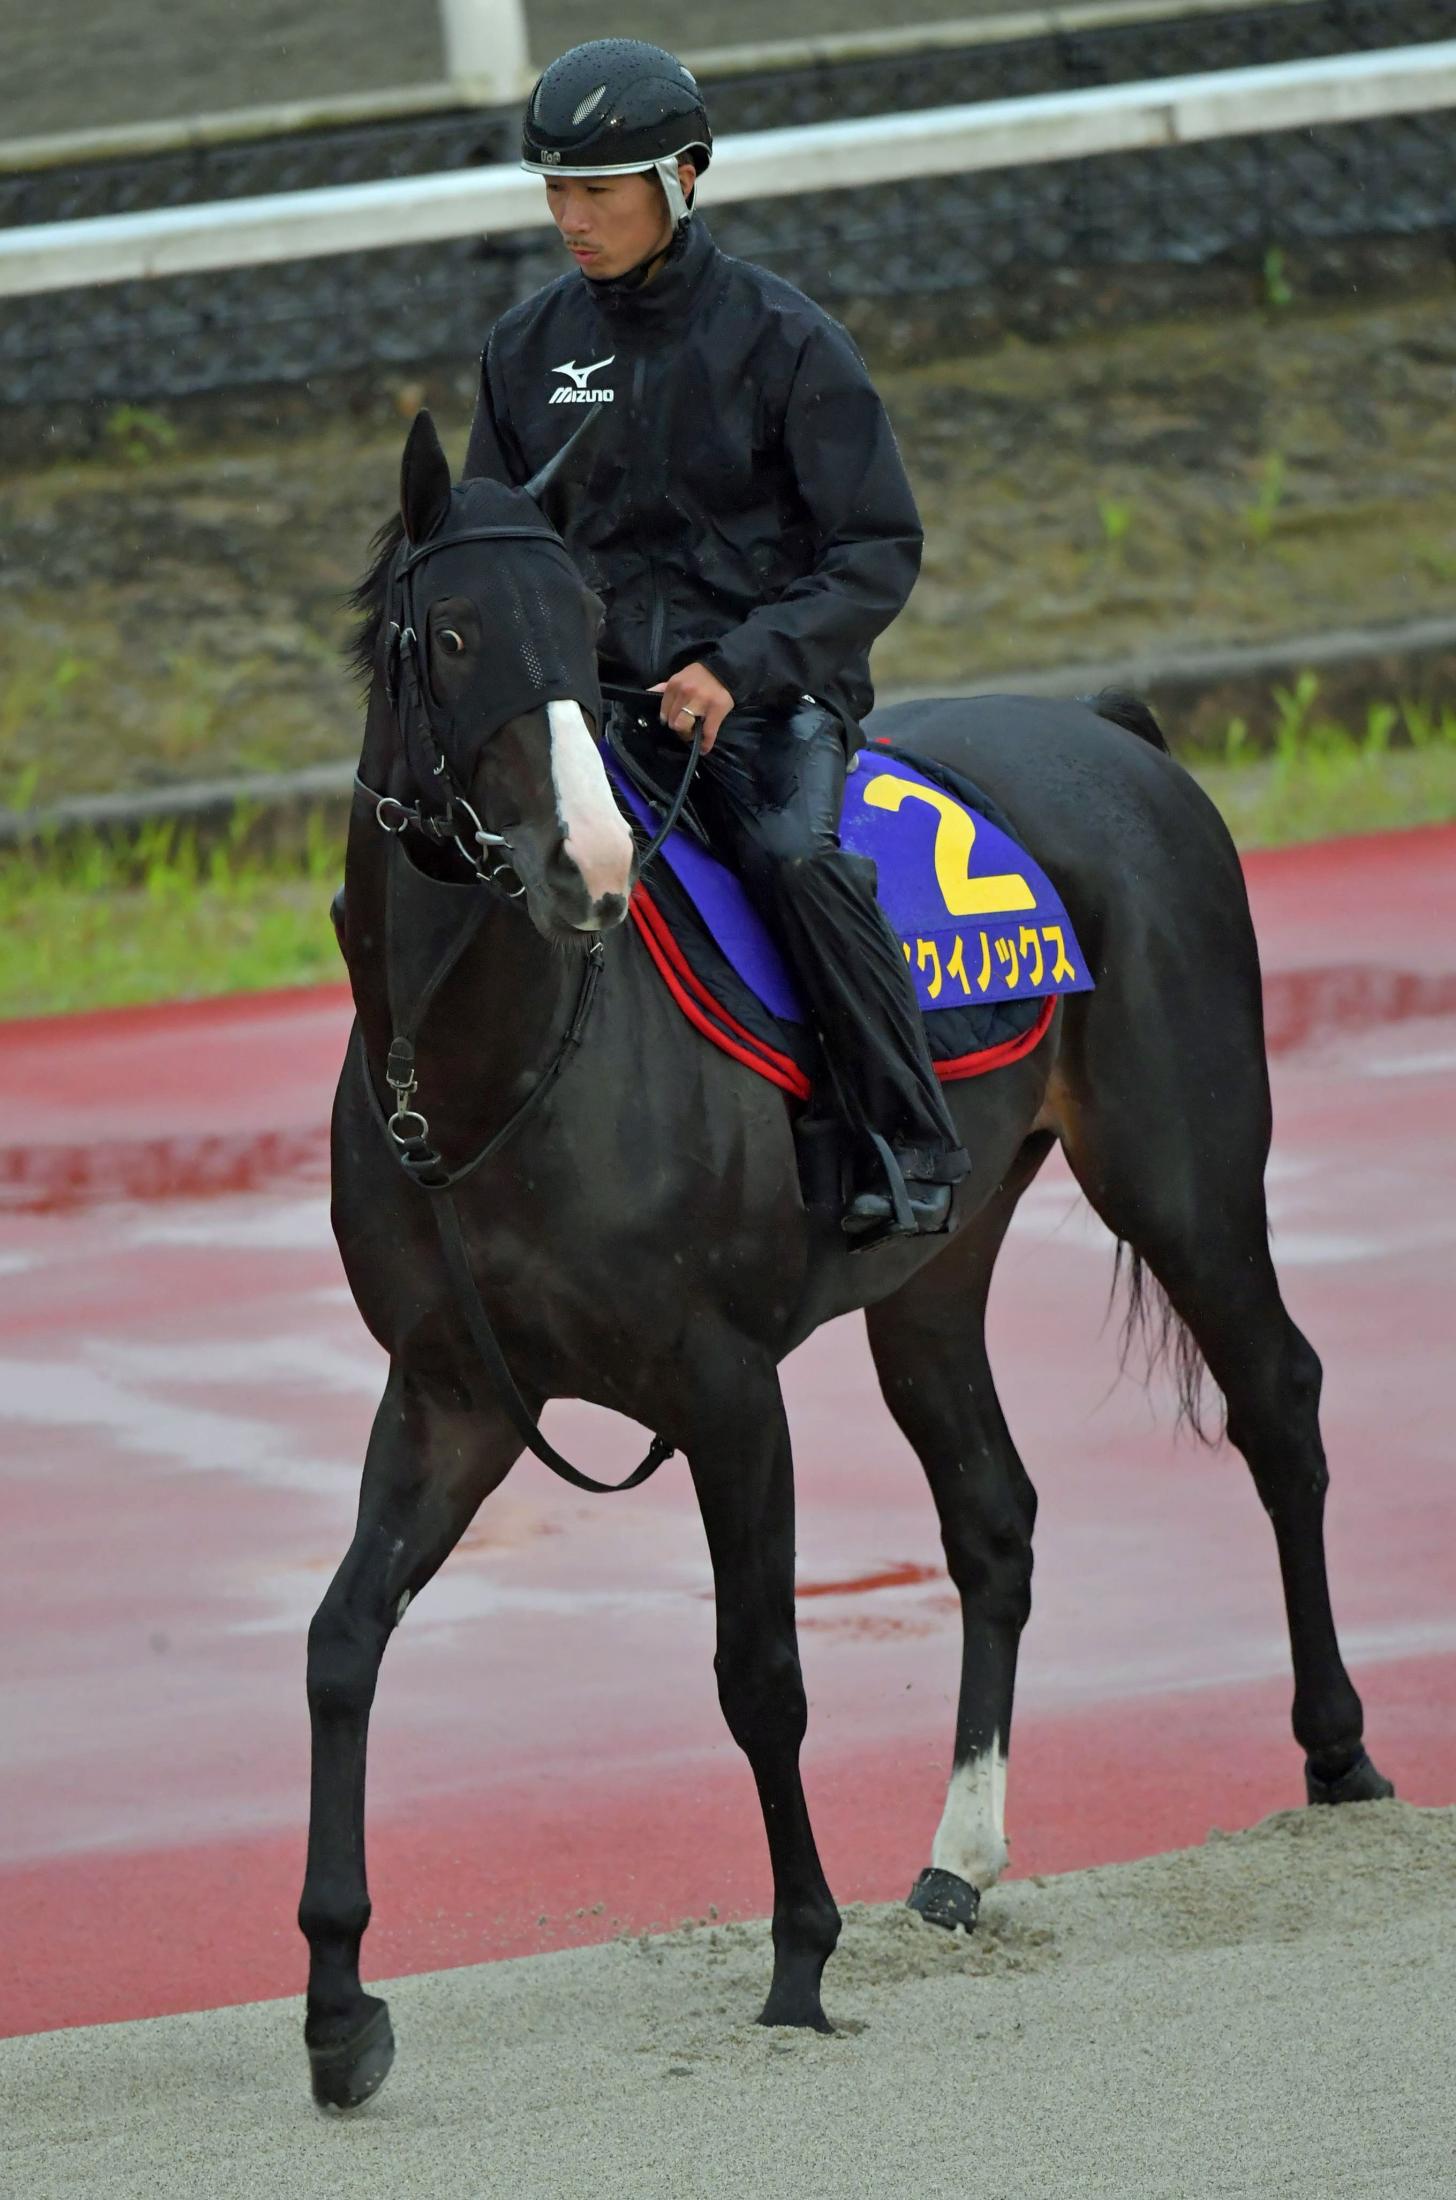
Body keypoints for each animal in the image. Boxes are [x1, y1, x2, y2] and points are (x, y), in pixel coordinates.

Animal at [299, 413, 1407, 2112]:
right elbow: (343, 1645)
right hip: (936, 1280)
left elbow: (759, 1669)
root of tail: (1123, 739)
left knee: (1279, 1406)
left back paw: (1338, 1751)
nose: (588, 863)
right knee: (996, 1515)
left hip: (1189, 1185)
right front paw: (339, 2006)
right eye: (463, 632)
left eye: (586, 626)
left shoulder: (724, 1390)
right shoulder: (453, 1396)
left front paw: (800, 1958)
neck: (493, 1070)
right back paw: (960, 1859)